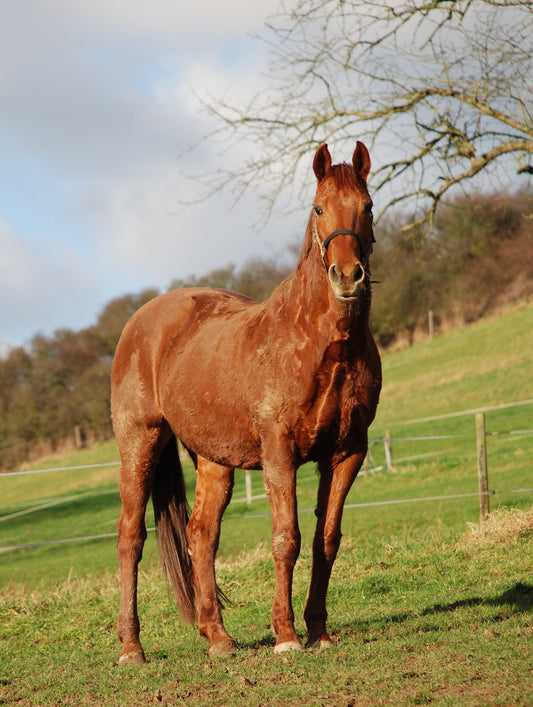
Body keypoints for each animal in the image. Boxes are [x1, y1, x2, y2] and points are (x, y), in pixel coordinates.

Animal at [110, 142, 380, 664]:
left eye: (368, 206)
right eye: (319, 209)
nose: (347, 277)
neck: (324, 345)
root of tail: (142, 320)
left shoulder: (347, 453)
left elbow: (327, 540)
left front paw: (318, 630)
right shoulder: (280, 454)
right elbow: (286, 539)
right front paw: (286, 635)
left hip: (214, 459)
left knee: (200, 534)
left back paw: (218, 637)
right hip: (139, 442)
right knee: (131, 536)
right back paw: (132, 647)